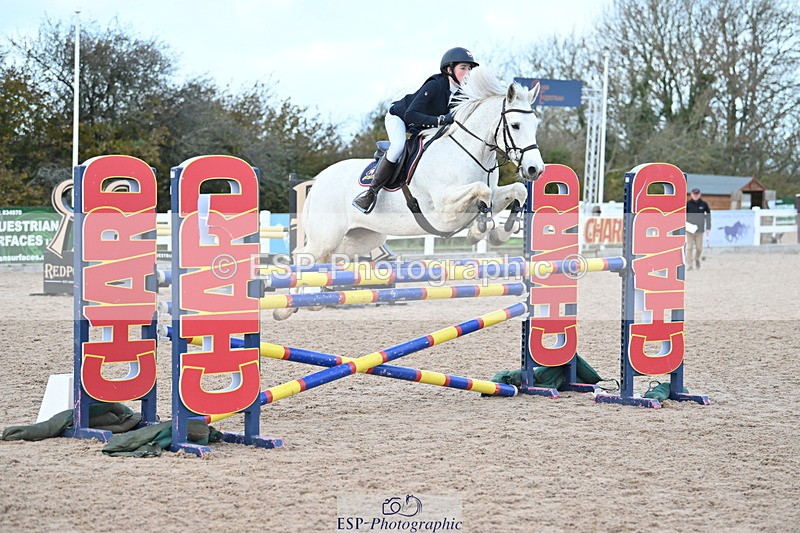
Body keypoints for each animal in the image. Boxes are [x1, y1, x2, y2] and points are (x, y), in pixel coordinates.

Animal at [274, 68, 545, 320]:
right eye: (515, 125)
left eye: (535, 126)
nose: (535, 169)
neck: (470, 152)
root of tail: (320, 179)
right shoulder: (442, 209)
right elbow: (482, 191)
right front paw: (478, 231)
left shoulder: (492, 195)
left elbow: (515, 191)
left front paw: (502, 231)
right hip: (326, 235)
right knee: (303, 256)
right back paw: (285, 308)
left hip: (358, 238)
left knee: (326, 259)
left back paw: (312, 301)